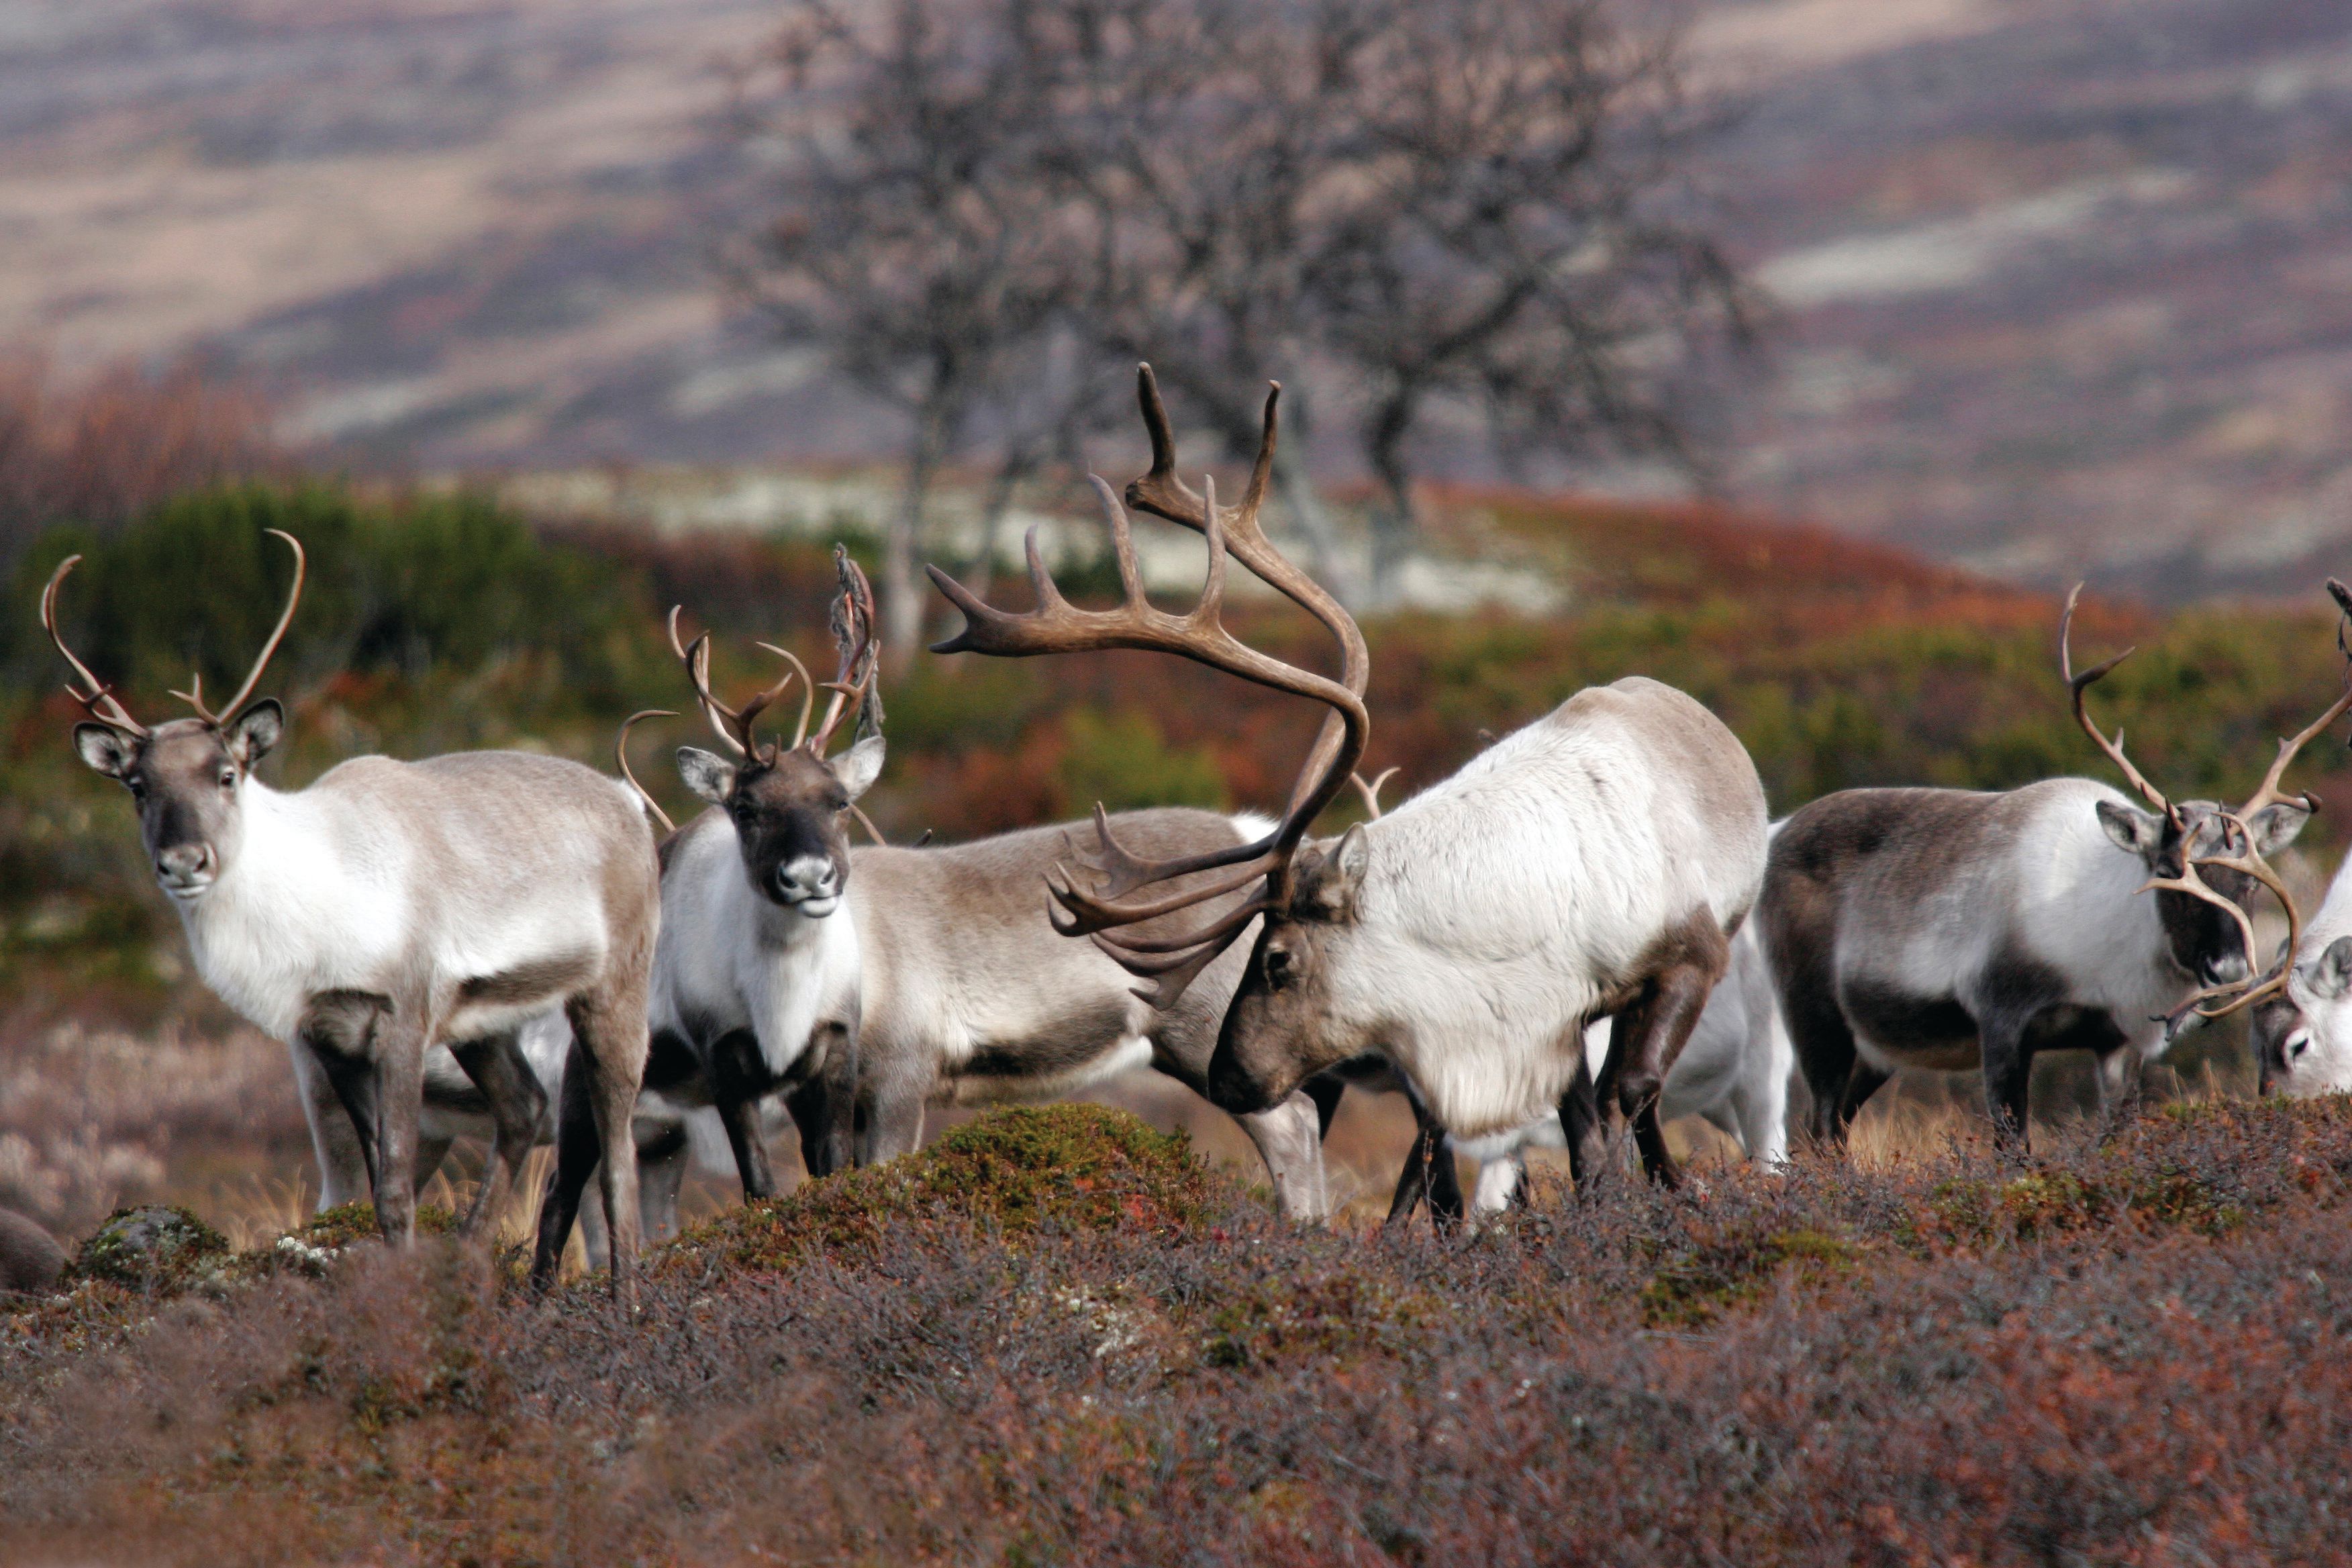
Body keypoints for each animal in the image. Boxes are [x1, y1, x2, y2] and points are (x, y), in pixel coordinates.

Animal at [42, 532, 660, 1301]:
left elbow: (393, 1187)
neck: (315, 903)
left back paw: (625, 1300)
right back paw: (478, 1266)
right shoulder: (329, 1037)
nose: (184, 862)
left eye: (227, 774)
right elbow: (374, 1183)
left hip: (613, 988)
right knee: (525, 1108)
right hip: (483, 1021)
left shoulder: (401, 1018)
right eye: (136, 785)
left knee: (617, 1150)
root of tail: (627, 802)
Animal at [927, 364, 1771, 1189]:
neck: (1516, 917)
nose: (1228, 1078)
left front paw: (1648, 1204)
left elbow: (1629, 1095)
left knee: (1640, 1089)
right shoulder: (1553, 1016)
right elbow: (1582, 1131)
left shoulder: (1686, 957)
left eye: (1277, 959)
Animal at [1760, 584, 2349, 1152]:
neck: (2100, 949)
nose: (2228, 969)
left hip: (1877, 1049)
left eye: (2248, 881)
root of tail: (1778, 829)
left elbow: (2117, 1136)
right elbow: (2013, 1150)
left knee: (1832, 1129)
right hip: (1817, 1019)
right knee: (1819, 1127)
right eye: (2169, 872)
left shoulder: (2116, 1043)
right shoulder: (2001, 1022)